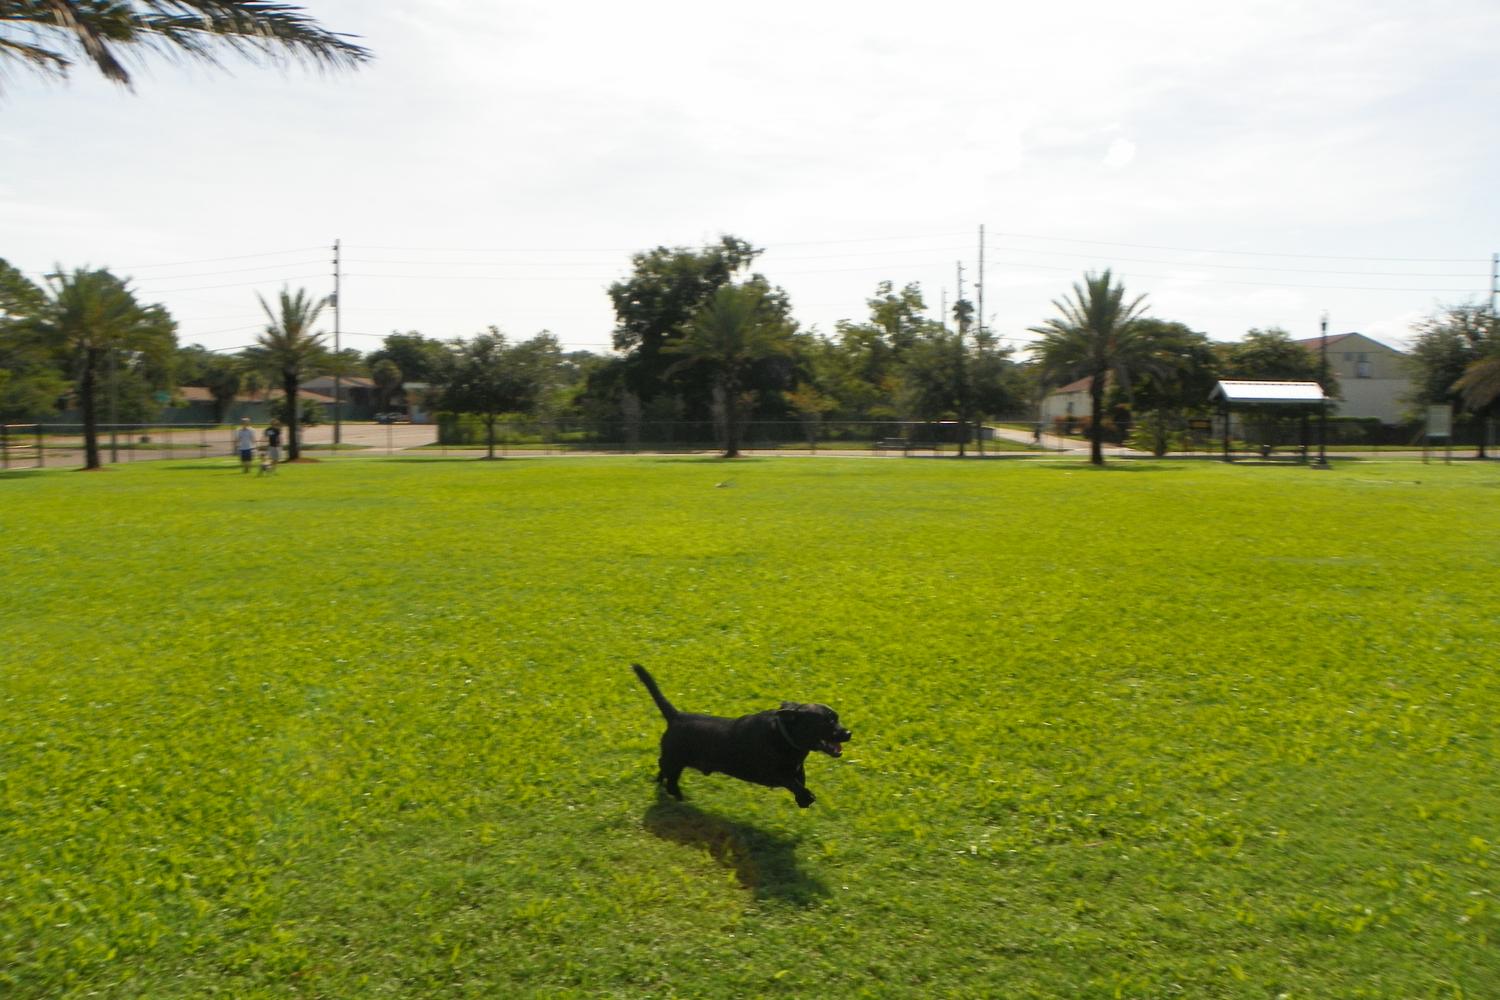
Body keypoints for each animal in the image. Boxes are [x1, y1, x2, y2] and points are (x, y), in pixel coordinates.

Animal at [627, 659, 852, 809]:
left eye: (837, 718)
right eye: (828, 721)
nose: (848, 733)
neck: (784, 736)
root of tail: (676, 716)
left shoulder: (796, 768)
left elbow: (799, 779)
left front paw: (803, 799)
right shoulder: (771, 773)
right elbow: (792, 782)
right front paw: (806, 797)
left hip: (673, 760)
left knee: (663, 770)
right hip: (676, 761)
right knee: (671, 781)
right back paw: (682, 800)